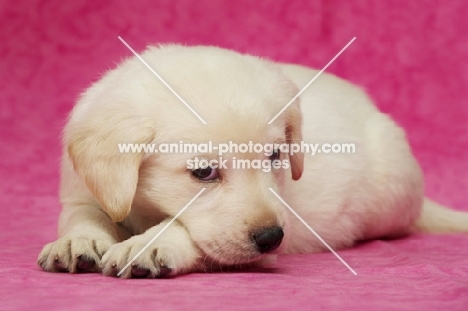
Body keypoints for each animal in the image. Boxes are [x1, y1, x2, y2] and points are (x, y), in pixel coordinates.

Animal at [37, 43, 468, 278]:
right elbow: (82, 215)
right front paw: (78, 241)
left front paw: (150, 243)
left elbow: (188, 231)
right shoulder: (83, 190)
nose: (271, 238)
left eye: (275, 156)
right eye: (204, 171)